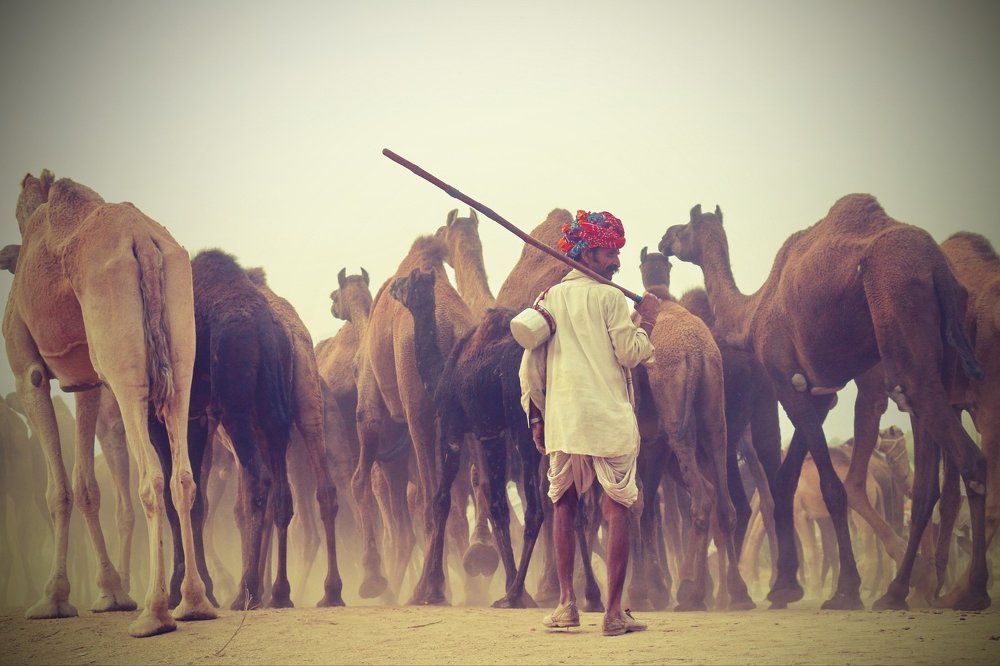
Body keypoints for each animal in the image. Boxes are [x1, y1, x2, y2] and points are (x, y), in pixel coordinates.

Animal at [4, 171, 215, 636]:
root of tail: (143, 239)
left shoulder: (27, 370)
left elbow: (59, 489)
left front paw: (52, 600)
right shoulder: (83, 379)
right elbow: (85, 486)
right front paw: (110, 594)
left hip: (120, 354)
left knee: (151, 477)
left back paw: (153, 615)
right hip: (180, 347)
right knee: (183, 475)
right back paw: (194, 604)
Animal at [352, 235, 478, 599]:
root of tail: (452, 326)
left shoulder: (370, 393)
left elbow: (359, 481)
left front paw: (372, 578)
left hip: (417, 407)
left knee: (430, 500)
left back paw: (428, 589)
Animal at [660, 197, 988, 611]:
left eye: (683, 228)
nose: (664, 239)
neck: (753, 310)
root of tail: (937, 267)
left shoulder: (788, 383)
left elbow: (830, 487)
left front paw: (844, 590)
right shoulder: (819, 393)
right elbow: (785, 480)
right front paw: (784, 585)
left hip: (905, 338)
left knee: (968, 458)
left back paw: (967, 591)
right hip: (941, 354)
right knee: (931, 483)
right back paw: (902, 590)